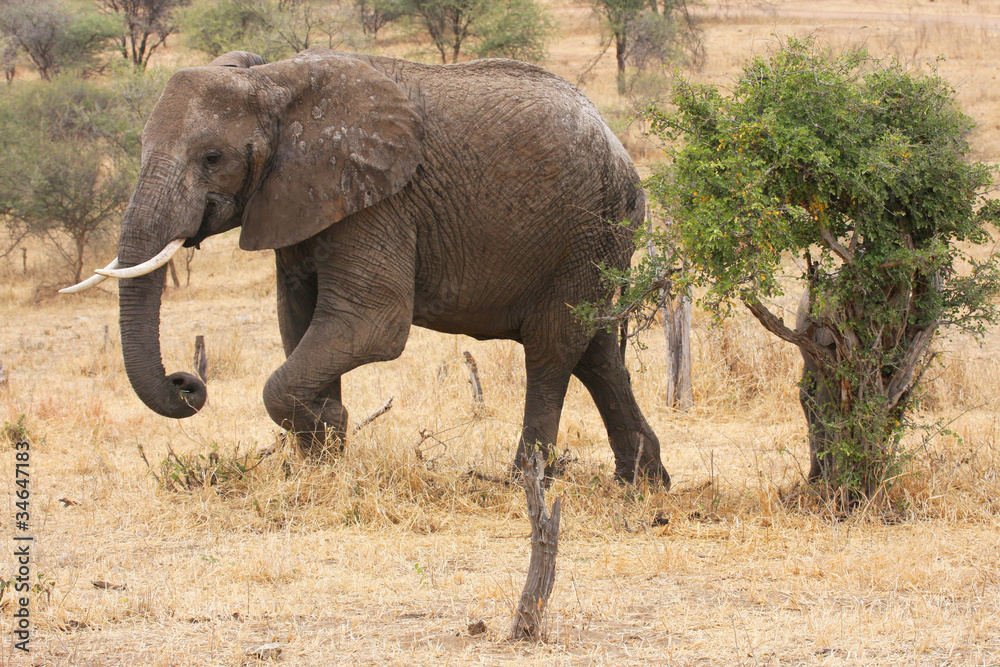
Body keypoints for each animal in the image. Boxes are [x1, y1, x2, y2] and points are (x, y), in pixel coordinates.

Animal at [63, 48, 670, 486]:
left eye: (212, 158)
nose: (185, 382)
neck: (275, 83)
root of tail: (618, 147)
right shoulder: (299, 200)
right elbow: (297, 321)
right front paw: (322, 460)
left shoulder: (379, 201)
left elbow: (369, 326)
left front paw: (328, 427)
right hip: (595, 241)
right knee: (595, 349)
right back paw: (642, 484)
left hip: (589, 228)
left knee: (551, 347)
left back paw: (524, 482)